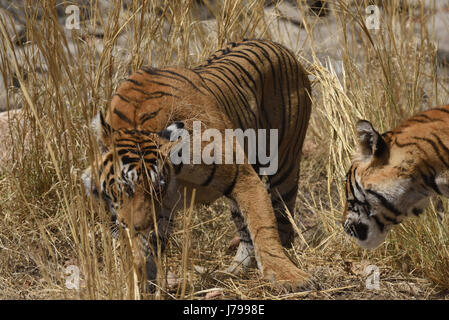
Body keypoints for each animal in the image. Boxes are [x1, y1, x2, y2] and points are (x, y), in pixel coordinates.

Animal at [80, 38, 312, 292]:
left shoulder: (242, 176)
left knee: (282, 221)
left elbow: (263, 226)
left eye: (157, 188)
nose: (139, 226)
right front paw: (143, 285)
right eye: (125, 188)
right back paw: (231, 272)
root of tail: (278, 46)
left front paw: (289, 276)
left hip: (285, 163)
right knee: (245, 231)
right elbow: (145, 252)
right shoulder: (158, 210)